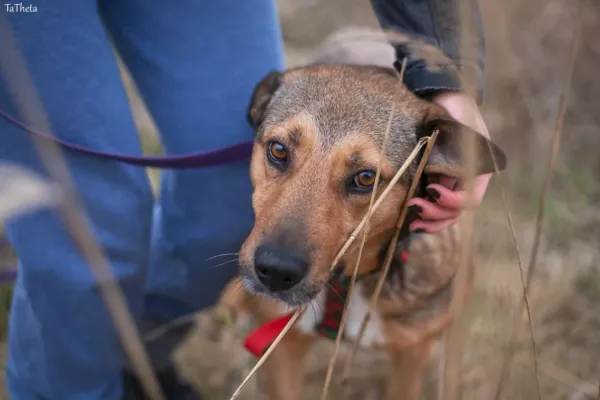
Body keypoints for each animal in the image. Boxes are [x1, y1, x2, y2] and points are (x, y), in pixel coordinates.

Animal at [216, 35, 506, 400]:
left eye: (366, 178)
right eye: (278, 150)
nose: (276, 272)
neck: (347, 281)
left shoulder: (411, 357)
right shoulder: (283, 346)